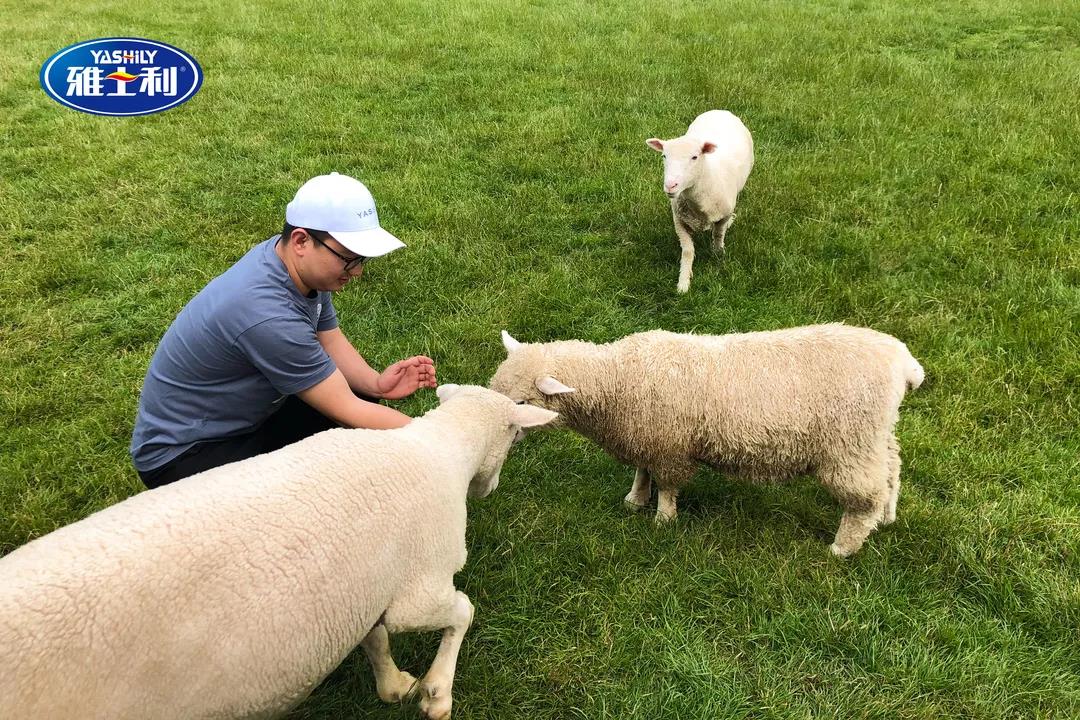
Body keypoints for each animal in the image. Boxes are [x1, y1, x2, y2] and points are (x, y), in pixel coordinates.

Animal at [0, 384, 557, 720]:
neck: (436, 450)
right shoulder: (418, 589)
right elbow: (460, 610)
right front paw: (437, 693)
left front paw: (393, 686)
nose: (489, 488)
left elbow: (374, 639)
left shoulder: (362, 588)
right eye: (514, 436)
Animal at [490, 325, 924, 557]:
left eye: (522, 403)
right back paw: (887, 517)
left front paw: (663, 520)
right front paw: (634, 500)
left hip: (850, 444)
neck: (619, 378)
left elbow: (667, 485)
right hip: (876, 435)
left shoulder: (670, 446)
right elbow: (642, 471)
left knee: (863, 498)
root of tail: (904, 362)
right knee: (892, 470)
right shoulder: (646, 437)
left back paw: (843, 547)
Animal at [646, 109, 754, 293]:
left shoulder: (723, 215)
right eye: (664, 156)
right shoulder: (679, 221)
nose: (670, 185)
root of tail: (721, 110)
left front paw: (718, 255)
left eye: (695, 157)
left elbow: (718, 234)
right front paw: (683, 283)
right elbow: (688, 251)